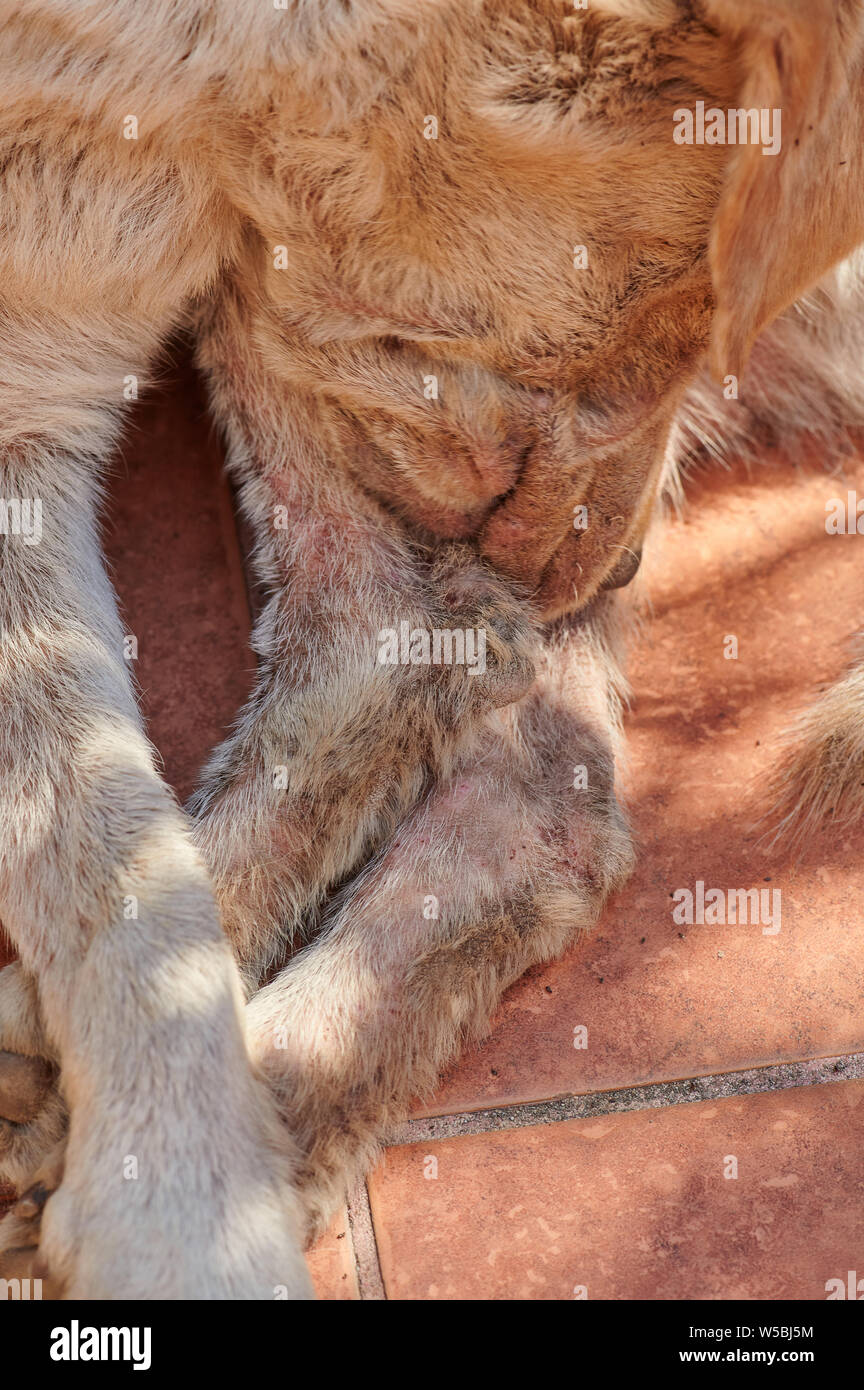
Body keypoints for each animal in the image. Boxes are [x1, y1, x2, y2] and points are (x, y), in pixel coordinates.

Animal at [1, 2, 864, 1301]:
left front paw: (183, 1216)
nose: (613, 571)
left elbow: (125, 871)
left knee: (431, 681)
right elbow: (100, 848)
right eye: (641, 328)